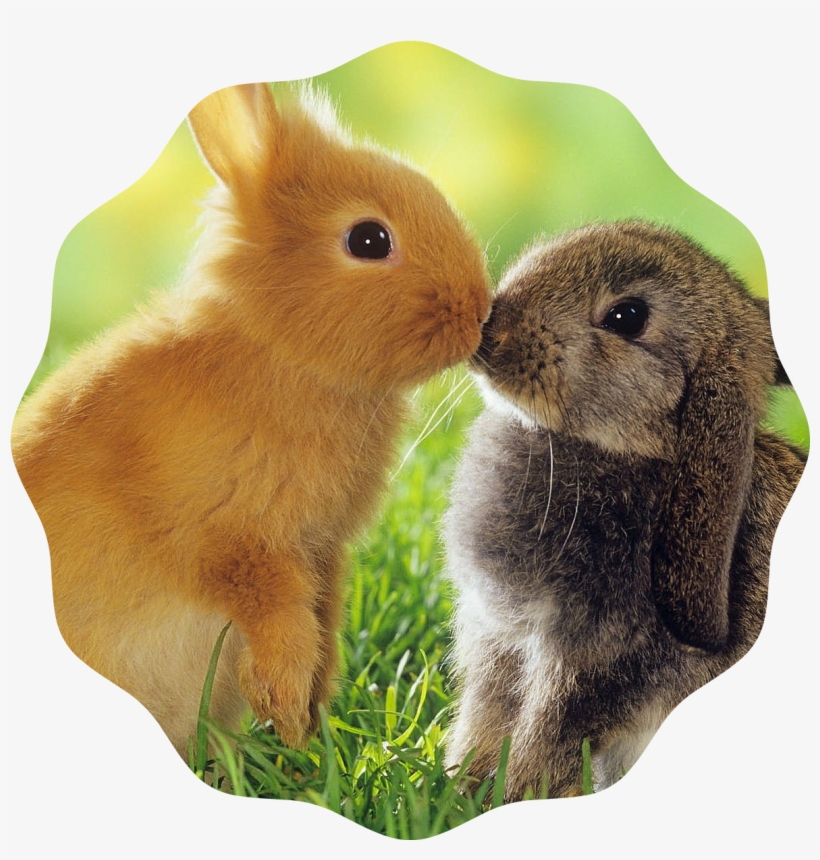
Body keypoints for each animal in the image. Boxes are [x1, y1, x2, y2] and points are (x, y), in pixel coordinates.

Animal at [11, 81, 490, 758]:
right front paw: (287, 713)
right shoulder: (237, 545)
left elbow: (322, 623)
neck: (281, 353)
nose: (479, 310)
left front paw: (308, 726)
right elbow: (279, 619)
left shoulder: (322, 553)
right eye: (369, 240)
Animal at [443, 221, 806, 800]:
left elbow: (547, 738)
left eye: (627, 317)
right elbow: (487, 721)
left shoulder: (593, 663)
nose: (490, 332)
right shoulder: (500, 644)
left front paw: (510, 796)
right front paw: (459, 789)